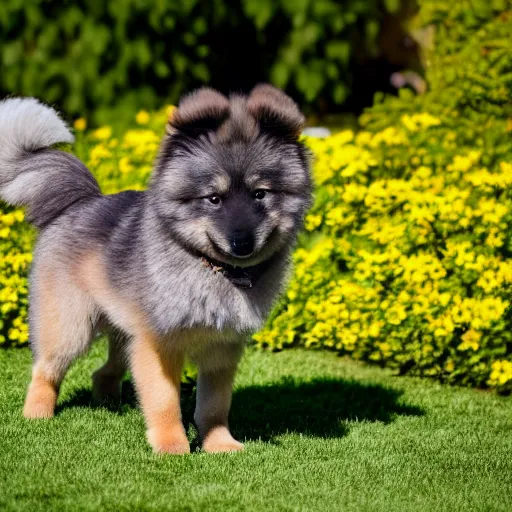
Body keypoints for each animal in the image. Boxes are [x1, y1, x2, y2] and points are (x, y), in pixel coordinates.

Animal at [0, 86, 312, 454]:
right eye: (214, 199)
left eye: (260, 194)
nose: (242, 243)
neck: (214, 269)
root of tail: (79, 202)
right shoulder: (159, 344)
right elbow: (164, 400)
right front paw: (171, 446)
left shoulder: (221, 348)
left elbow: (214, 405)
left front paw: (219, 443)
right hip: (70, 326)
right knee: (46, 370)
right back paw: (38, 414)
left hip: (124, 330)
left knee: (105, 371)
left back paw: (109, 403)